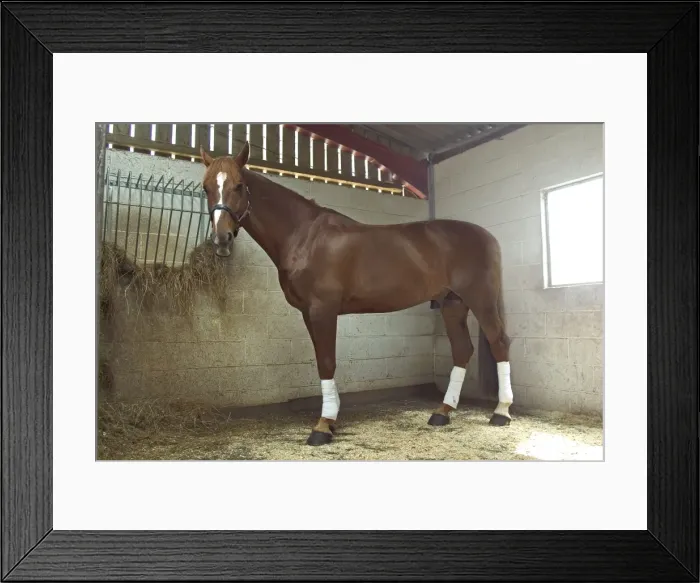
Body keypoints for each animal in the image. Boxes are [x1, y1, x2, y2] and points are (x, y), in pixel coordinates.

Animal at [200, 142, 513, 446]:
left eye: (239, 185)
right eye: (206, 187)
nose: (221, 239)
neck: (304, 236)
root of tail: (488, 236)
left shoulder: (323, 310)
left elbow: (327, 362)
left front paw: (323, 426)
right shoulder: (308, 313)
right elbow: (322, 359)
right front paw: (331, 418)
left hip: (481, 300)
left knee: (499, 343)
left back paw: (501, 412)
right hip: (453, 304)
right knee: (462, 350)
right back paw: (442, 413)